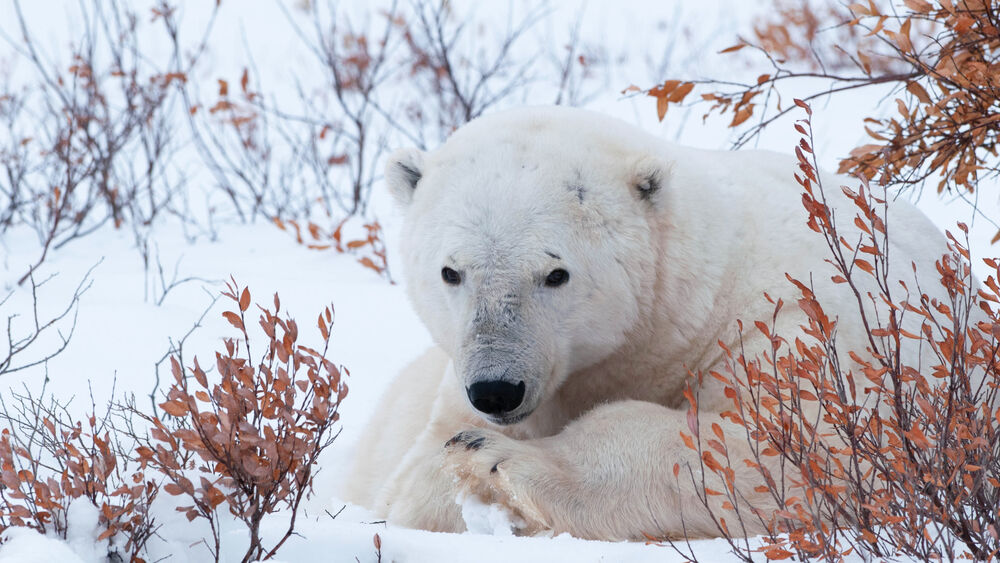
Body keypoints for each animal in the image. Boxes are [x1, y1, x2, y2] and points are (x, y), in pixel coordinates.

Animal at [343, 105, 955, 540]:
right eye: (451, 271)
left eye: (556, 273)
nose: (496, 389)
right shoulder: (455, 382)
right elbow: (412, 477)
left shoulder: (793, 319)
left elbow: (802, 444)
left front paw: (491, 459)